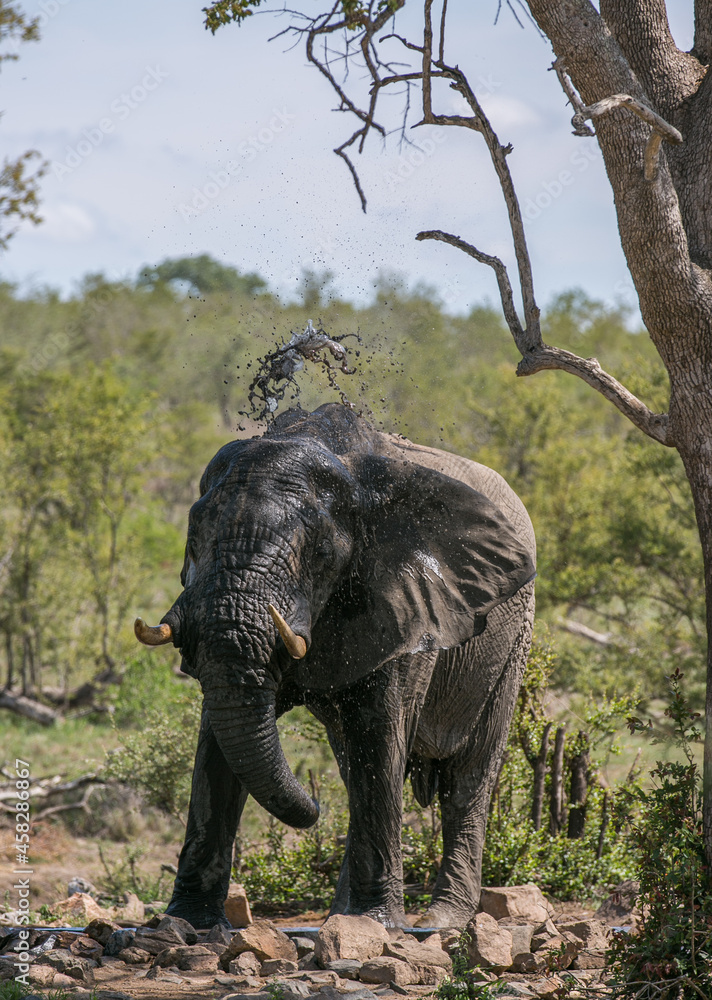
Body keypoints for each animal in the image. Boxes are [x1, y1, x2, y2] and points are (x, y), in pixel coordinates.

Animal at [135, 402, 536, 930]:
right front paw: (189, 925)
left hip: (512, 644)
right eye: (194, 539)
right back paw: (338, 919)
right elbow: (219, 742)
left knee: (465, 778)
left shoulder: (407, 607)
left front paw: (378, 924)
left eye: (321, 553)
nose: (313, 805)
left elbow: (380, 733)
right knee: (354, 771)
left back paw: (441, 919)